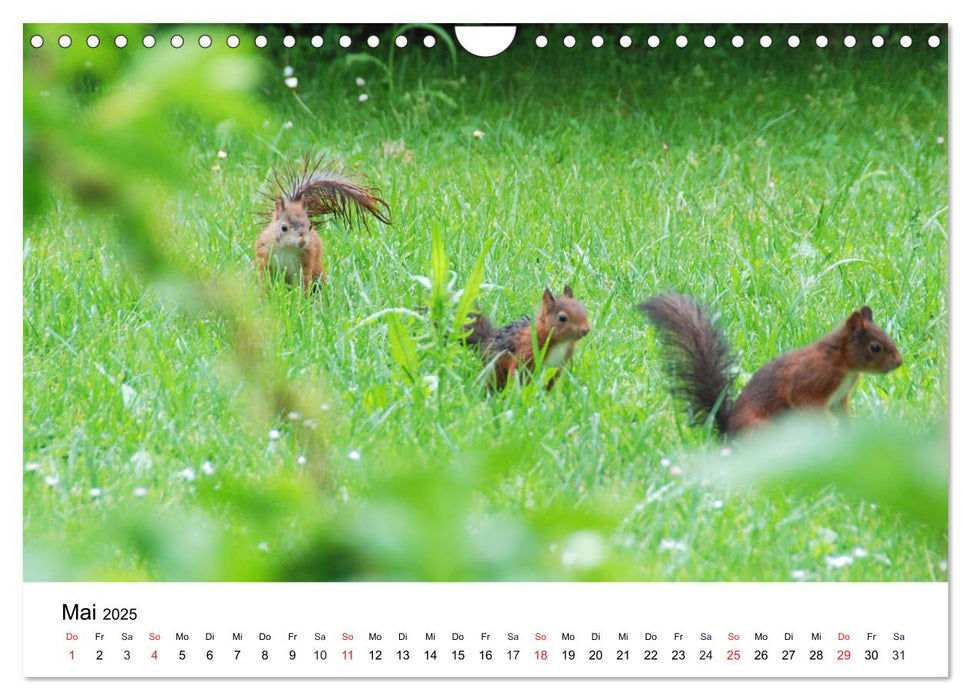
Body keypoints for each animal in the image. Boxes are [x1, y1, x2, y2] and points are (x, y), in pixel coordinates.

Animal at [254, 158, 392, 290]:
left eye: (310, 226)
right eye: (284, 228)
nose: (302, 241)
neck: (288, 248)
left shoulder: (305, 262)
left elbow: (302, 283)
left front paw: (302, 297)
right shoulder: (264, 256)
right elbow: (264, 279)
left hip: (317, 268)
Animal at [464, 288, 592, 392]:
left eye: (583, 309)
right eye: (562, 318)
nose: (586, 330)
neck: (561, 343)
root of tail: (486, 341)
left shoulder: (557, 365)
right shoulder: (527, 350)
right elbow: (519, 372)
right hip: (495, 368)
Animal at [636, 292, 904, 434]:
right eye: (875, 347)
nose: (899, 363)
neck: (842, 361)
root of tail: (726, 435)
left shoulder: (840, 398)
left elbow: (842, 412)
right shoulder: (813, 380)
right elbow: (805, 402)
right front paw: (830, 431)